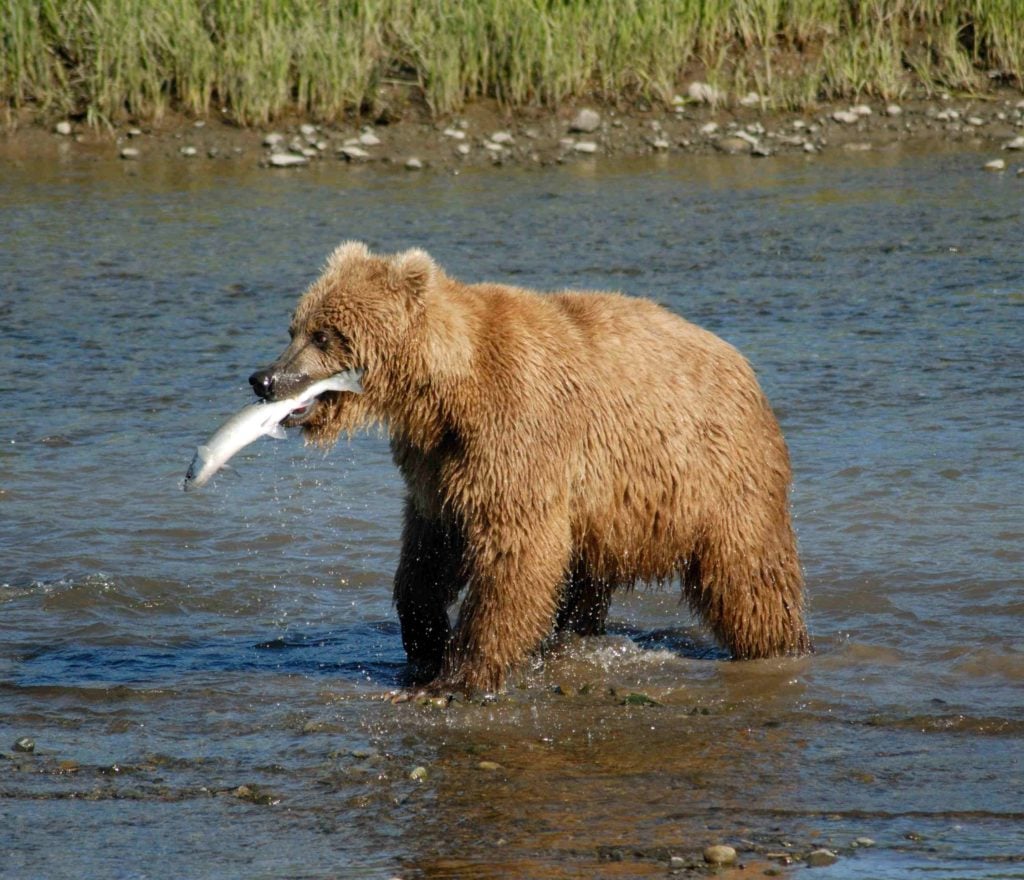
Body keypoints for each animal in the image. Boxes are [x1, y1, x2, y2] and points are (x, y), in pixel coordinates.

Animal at [247, 242, 806, 696]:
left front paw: (458, 676)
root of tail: (742, 365)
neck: (442, 392)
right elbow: (428, 552)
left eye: (325, 334)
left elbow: (515, 550)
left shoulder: (517, 429)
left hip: (716, 474)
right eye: (294, 328)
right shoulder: (437, 464)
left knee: (749, 574)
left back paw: (778, 646)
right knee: (586, 581)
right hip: (610, 512)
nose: (264, 379)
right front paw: (425, 643)